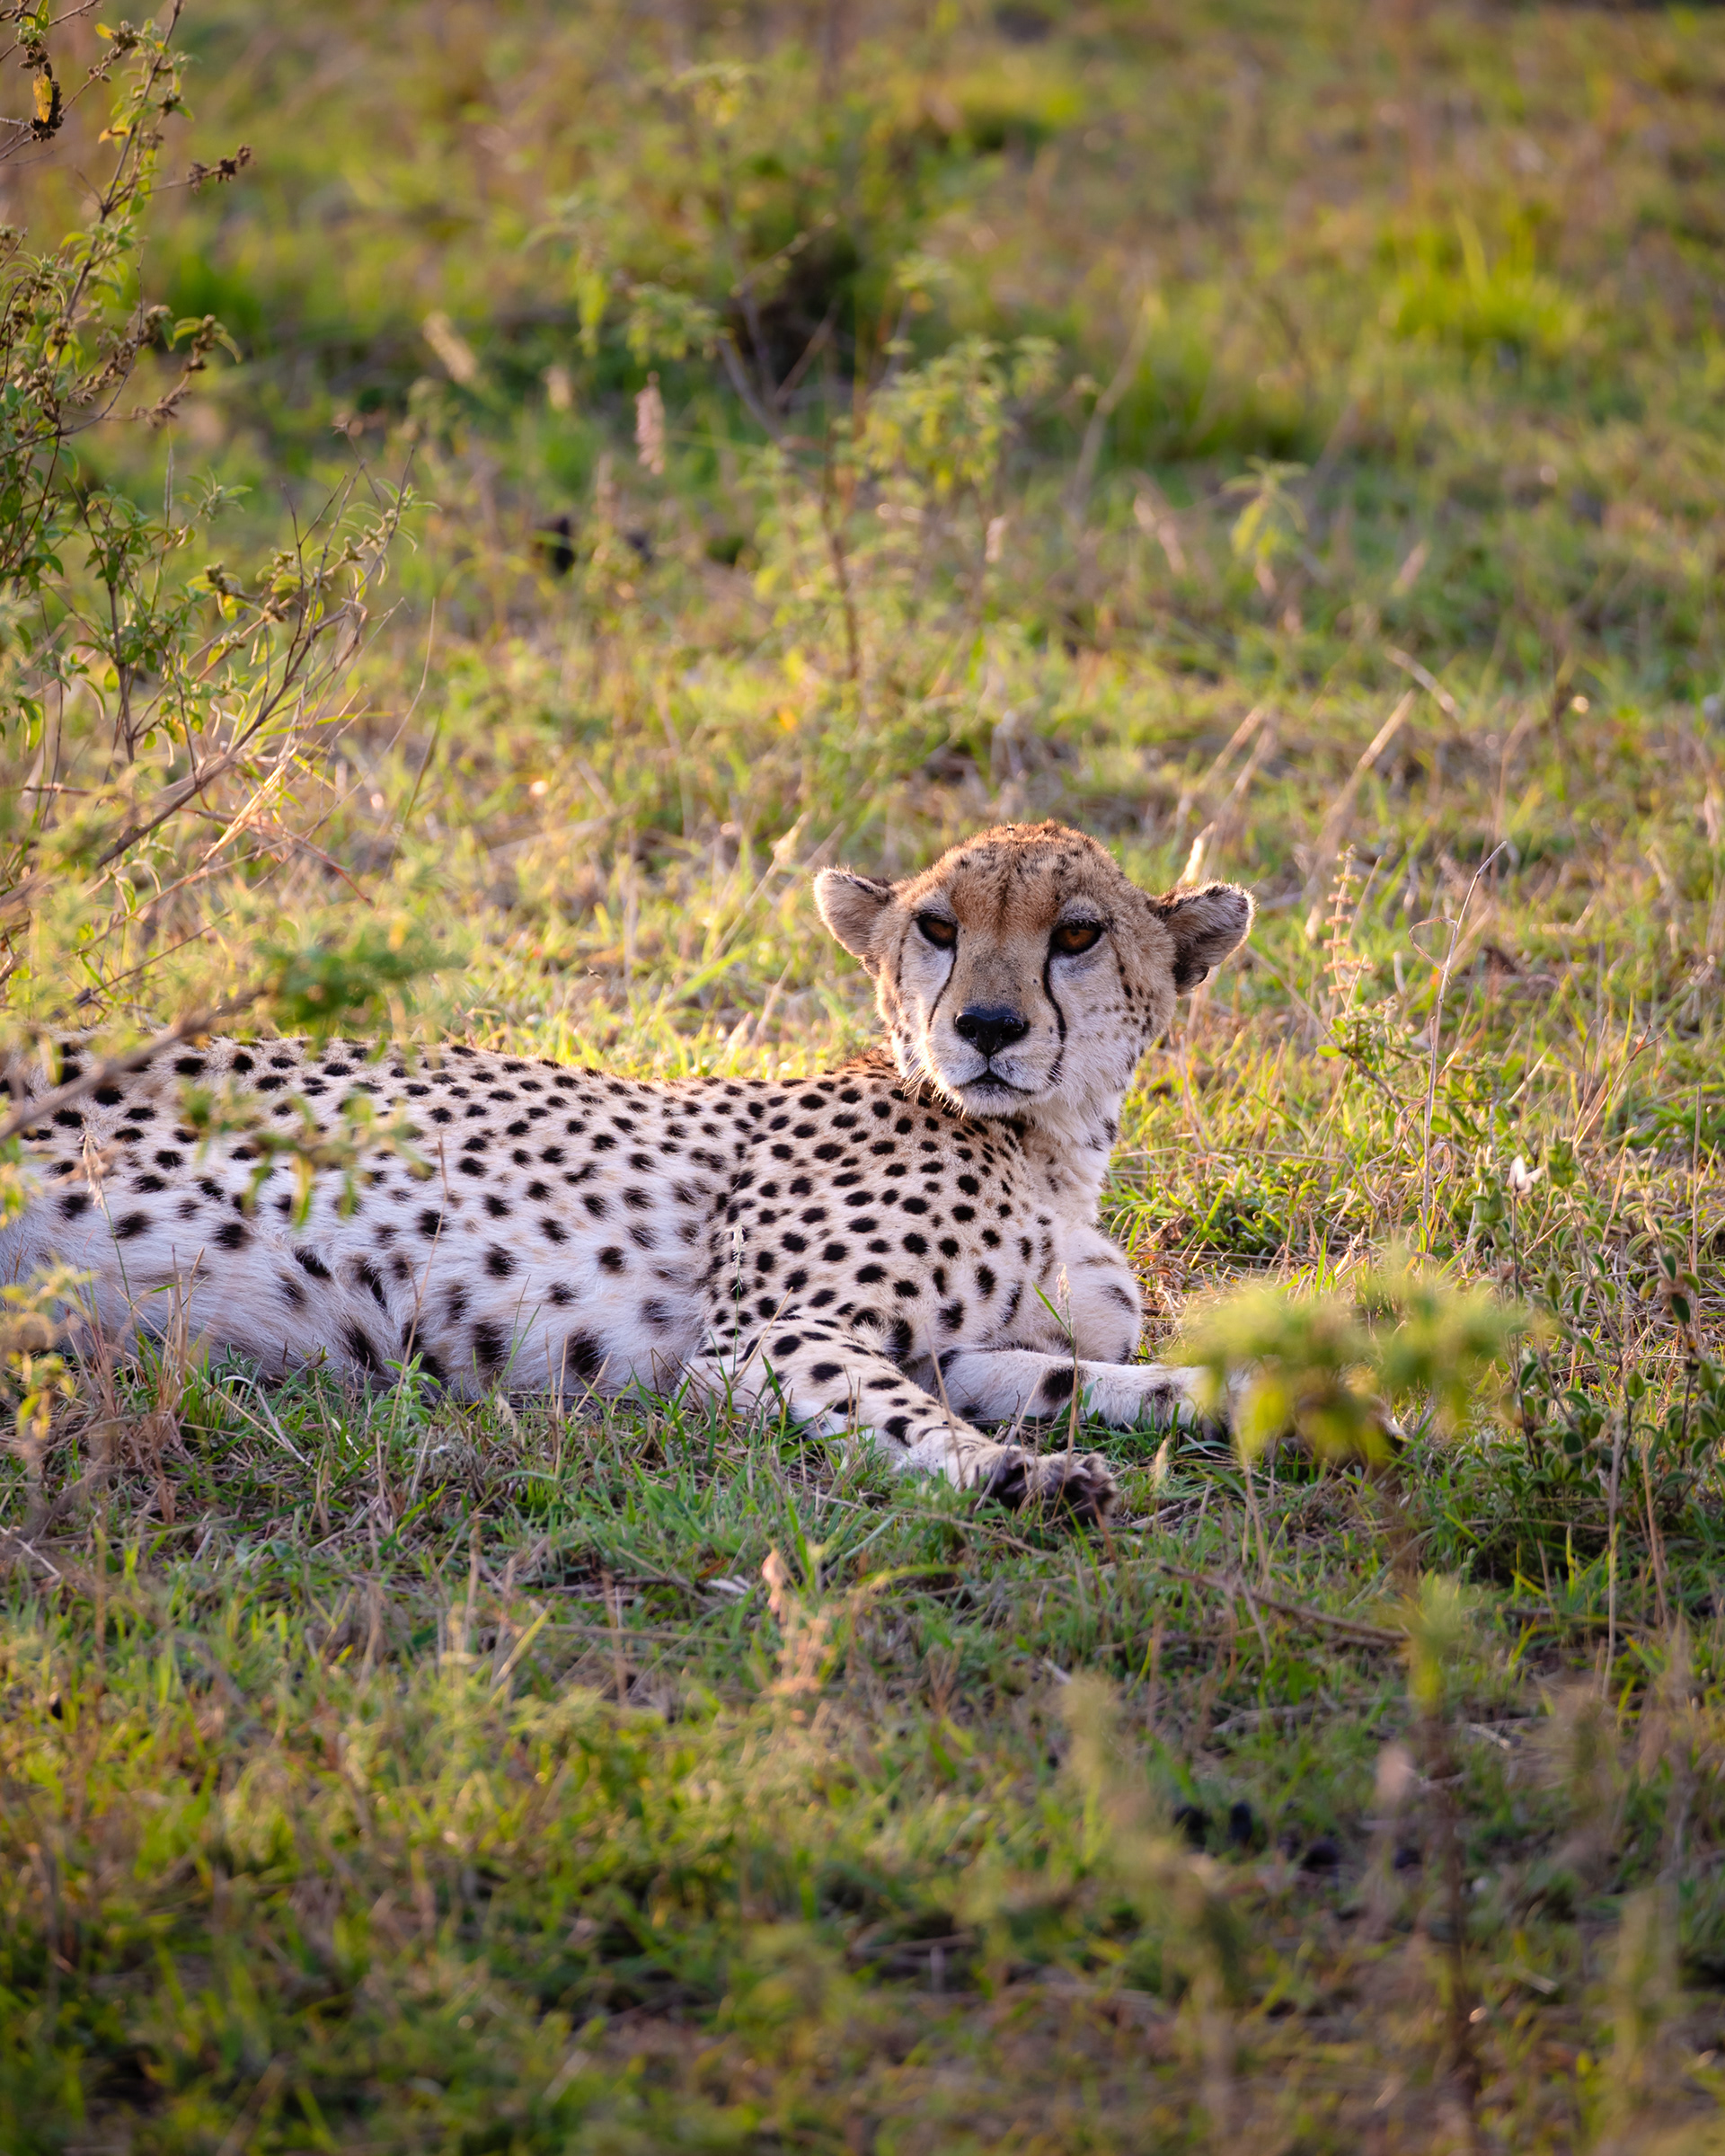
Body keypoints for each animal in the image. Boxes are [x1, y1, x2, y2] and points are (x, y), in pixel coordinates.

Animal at [1, 820, 1253, 1522]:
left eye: (1078, 934)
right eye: (938, 928)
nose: (989, 1027)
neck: (1047, 1145)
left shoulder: (969, 1351)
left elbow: (1090, 1380)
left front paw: (1248, 1399)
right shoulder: (765, 1340)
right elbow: (909, 1418)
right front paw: (1021, 1479)